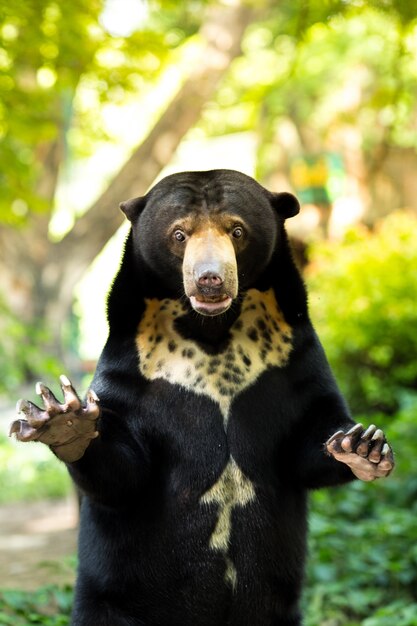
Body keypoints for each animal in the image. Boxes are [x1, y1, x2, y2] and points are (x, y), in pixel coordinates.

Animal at [10, 169, 394, 624]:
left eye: (237, 230)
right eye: (179, 234)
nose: (210, 279)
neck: (212, 332)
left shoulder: (293, 357)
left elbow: (311, 433)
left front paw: (363, 447)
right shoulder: (132, 367)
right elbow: (125, 473)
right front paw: (65, 422)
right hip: (110, 597)